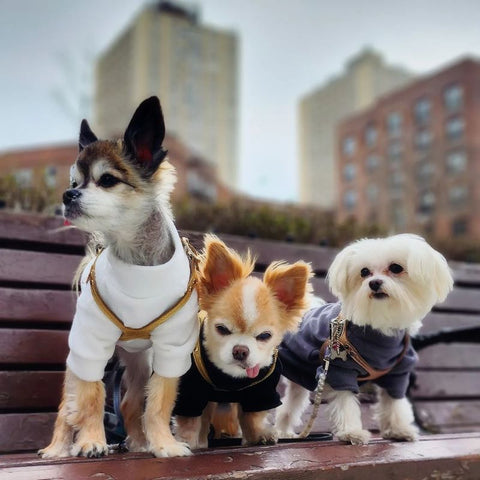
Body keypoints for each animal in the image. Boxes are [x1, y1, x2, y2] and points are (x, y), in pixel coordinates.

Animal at [38, 96, 201, 458]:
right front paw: (91, 441)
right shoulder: (90, 344)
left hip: (141, 361)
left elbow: (159, 403)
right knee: (67, 406)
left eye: (108, 180)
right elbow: (90, 398)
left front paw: (164, 444)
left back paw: (139, 443)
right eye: (74, 183)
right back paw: (58, 448)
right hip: (83, 358)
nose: (67, 195)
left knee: (129, 402)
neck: (138, 264)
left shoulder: (171, 348)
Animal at [278, 234, 454, 444]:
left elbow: (393, 402)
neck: (378, 326)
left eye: (396, 268)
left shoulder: (398, 372)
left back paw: (285, 433)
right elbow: (345, 402)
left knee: (289, 407)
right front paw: (351, 432)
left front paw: (398, 429)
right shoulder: (340, 368)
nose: (374, 283)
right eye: (364, 272)